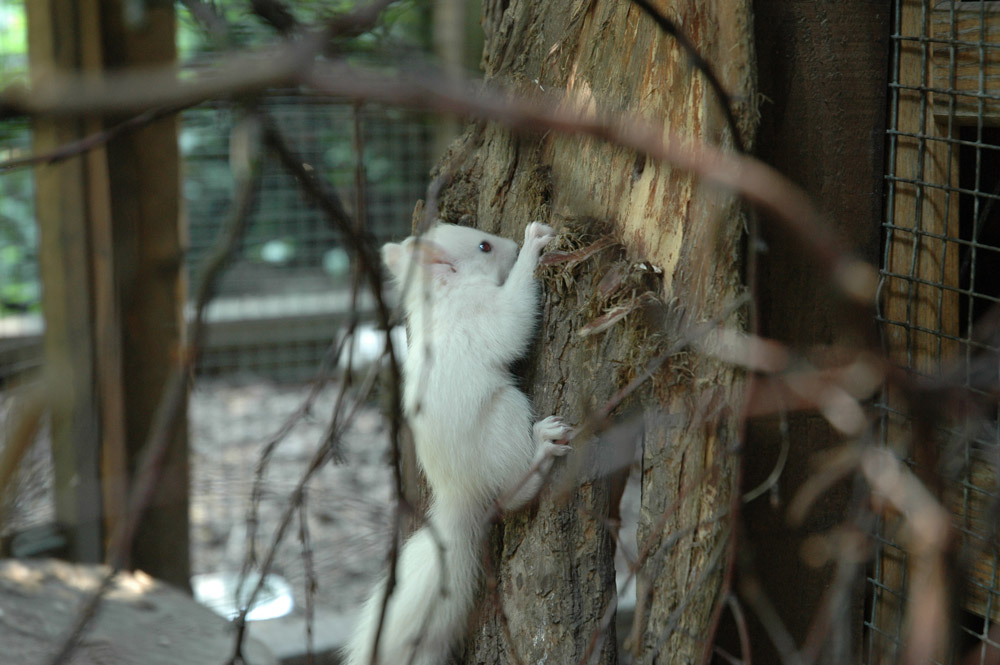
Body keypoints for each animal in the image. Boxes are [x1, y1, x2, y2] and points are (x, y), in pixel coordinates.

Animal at [348, 222, 572, 664]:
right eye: (484, 247)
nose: (511, 245)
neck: (444, 293)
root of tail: (459, 495)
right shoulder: (480, 312)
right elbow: (512, 320)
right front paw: (533, 248)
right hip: (504, 418)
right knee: (510, 494)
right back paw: (541, 449)